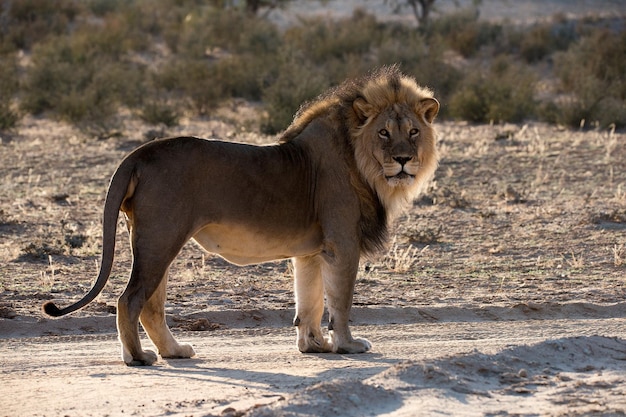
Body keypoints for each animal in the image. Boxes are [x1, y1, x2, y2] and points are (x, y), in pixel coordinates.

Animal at [41, 65, 438, 364]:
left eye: (413, 132)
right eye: (384, 132)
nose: (404, 159)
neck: (362, 163)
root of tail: (141, 153)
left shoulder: (312, 251)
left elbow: (309, 300)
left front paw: (314, 346)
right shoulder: (342, 244)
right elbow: (340, 300)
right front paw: (347, 345)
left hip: (157, 240)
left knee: (151, 305)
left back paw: (175, 351)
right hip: (160, 239)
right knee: (130, 300)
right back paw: (138, 357)